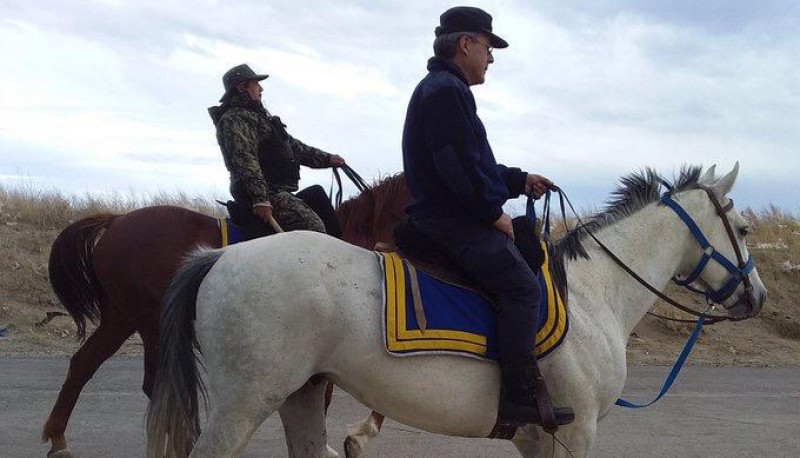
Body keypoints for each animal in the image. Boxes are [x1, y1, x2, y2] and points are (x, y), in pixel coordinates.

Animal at [42, 174, 406, 456]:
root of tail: (116, 220)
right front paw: (356, 436)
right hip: (149, 322)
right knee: (151, 383)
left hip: (122, 319)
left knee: (83, 365)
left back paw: (59, 439)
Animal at [147, 165, 764, 458]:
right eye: (744, 228)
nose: (755, 296)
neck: (593, 295)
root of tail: (220, 255)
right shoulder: (576, 434)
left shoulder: (538, 440)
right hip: (242, 405)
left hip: (300, 394)